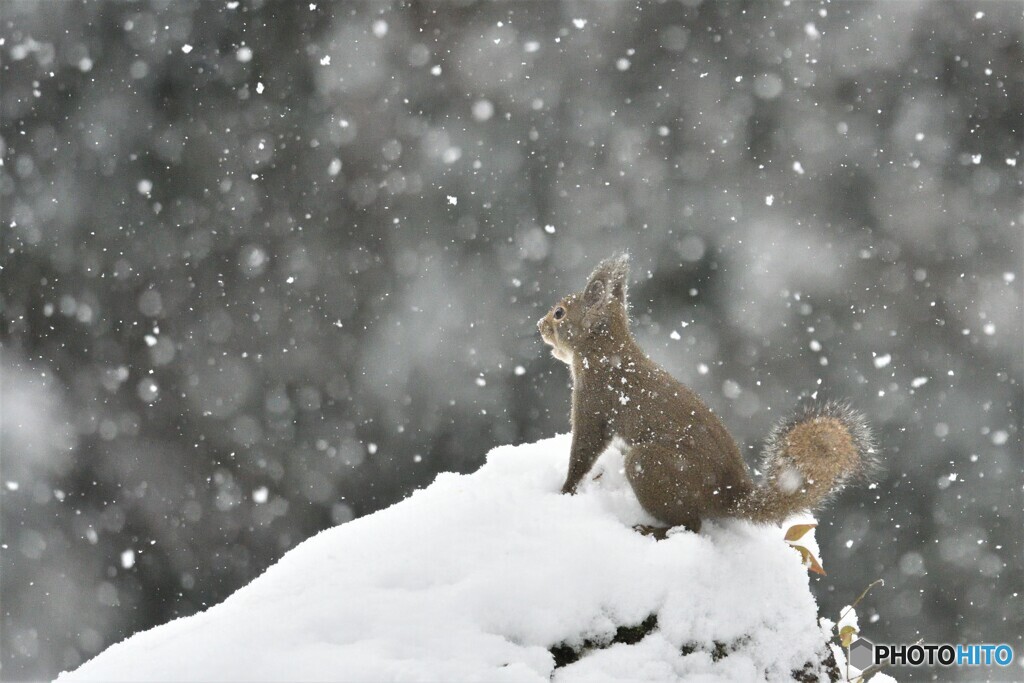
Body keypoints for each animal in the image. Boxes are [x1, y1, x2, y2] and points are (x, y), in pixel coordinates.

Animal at [532, 254, 876, 532]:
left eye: (560, 313)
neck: (605, 351)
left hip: (654, 467)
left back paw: (653, 530)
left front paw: (566, 489)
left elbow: (584, 449)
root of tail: (728, 497)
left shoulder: (595, 399)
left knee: (692, 524)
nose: (540, 325)